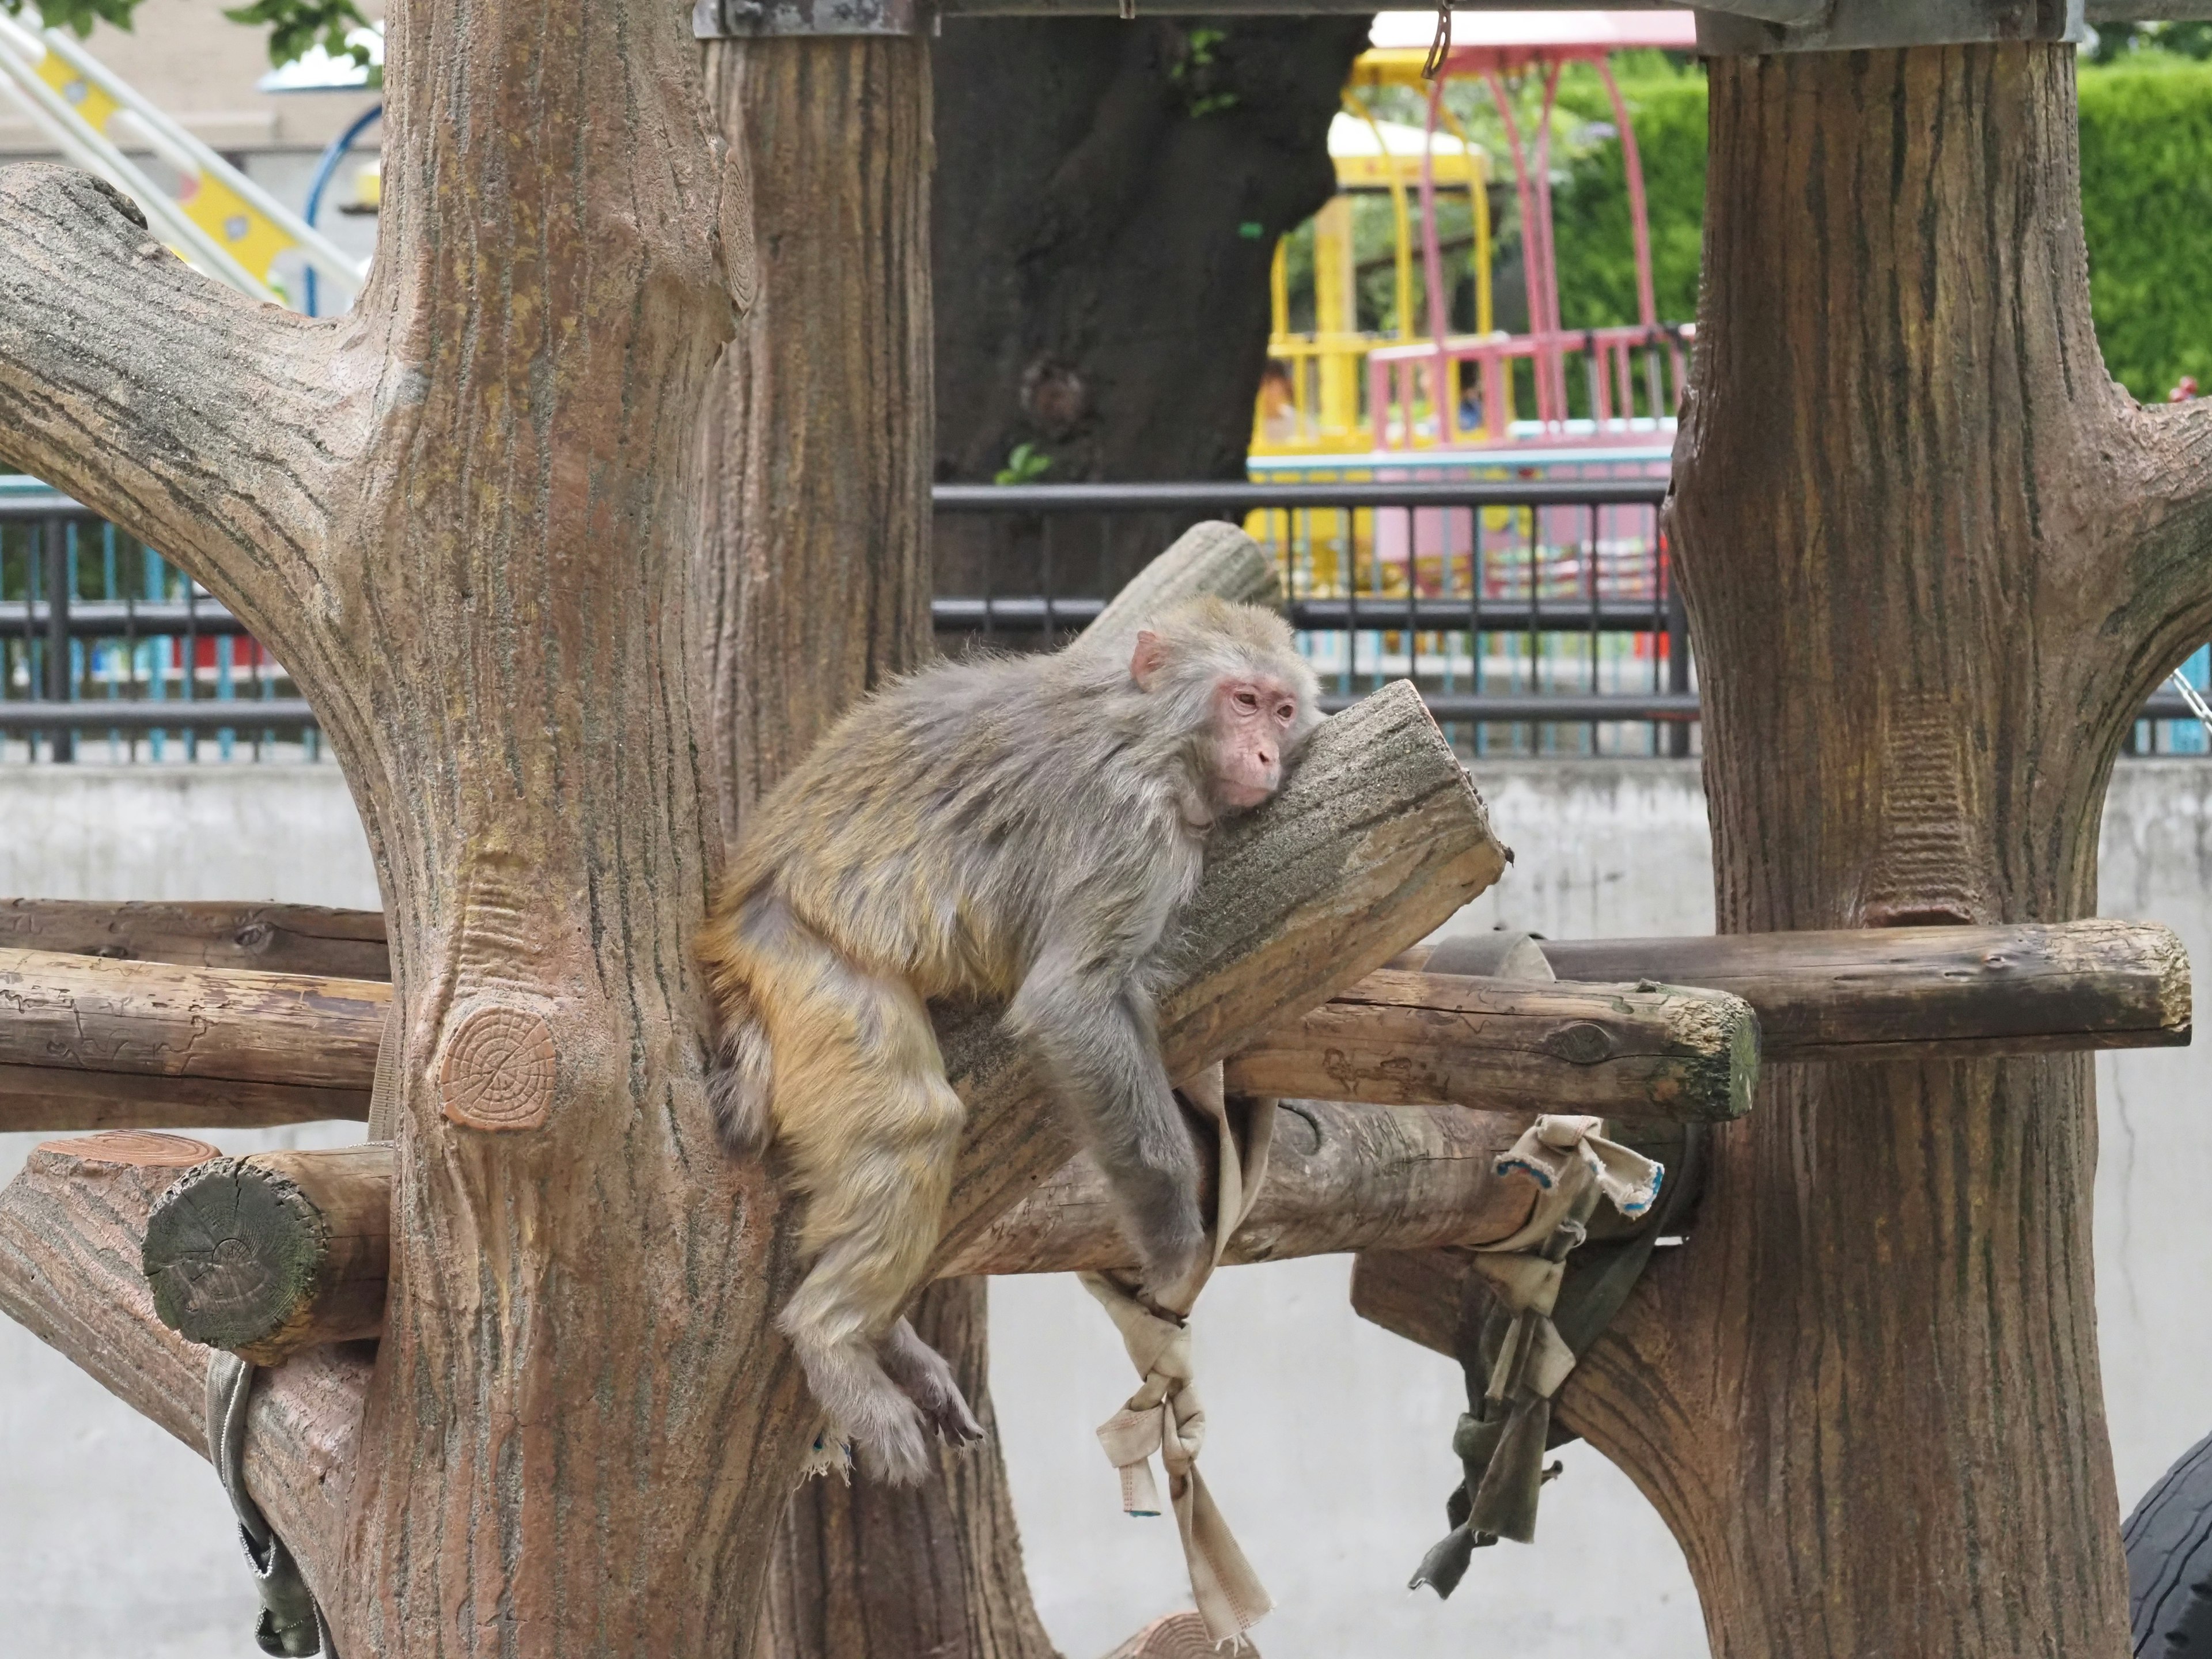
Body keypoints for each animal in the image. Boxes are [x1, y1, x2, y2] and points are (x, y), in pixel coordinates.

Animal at [694, 593, 1309, 1478]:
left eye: (1284, 709)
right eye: (1244, 700)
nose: (1265, 752)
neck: (1145, 726)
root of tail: (735, 921)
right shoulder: (1129, 826)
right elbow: (1071, 1002)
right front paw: (1168, 1230)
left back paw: (889, 1340)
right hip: (804, 960)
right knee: (912, 1120)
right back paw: (835, 1340)